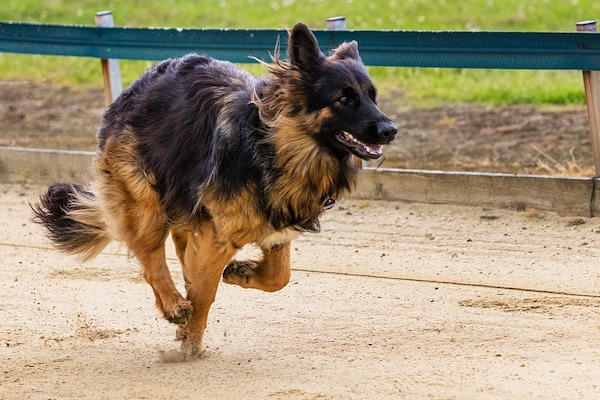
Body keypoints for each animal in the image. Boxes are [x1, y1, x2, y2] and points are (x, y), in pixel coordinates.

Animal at [34, 23, 398, 358]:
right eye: (344, 98)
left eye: (372, 96)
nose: (390, 130)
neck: (272, 147)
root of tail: (137, 87)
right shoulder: (216, 235)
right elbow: (205, 290)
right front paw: (190, 346)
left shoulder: (274, 227)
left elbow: (278, 277)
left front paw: (242, 273)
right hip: (144, 199)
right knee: (150, 258)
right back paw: (174, 305)